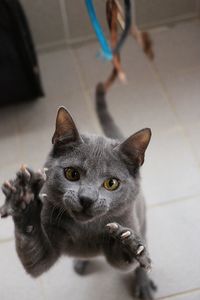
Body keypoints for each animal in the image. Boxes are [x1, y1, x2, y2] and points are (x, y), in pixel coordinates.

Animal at [0, 83, 156, 298]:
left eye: (111, 183)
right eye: (72, 173)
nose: (87, 198)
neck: (84, 231)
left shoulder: (126, 223)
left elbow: (125, 262)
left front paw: (129, 244)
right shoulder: (43, 246)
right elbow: (34, 254)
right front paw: (25, 201)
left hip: (142, 217)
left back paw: (143, 280)